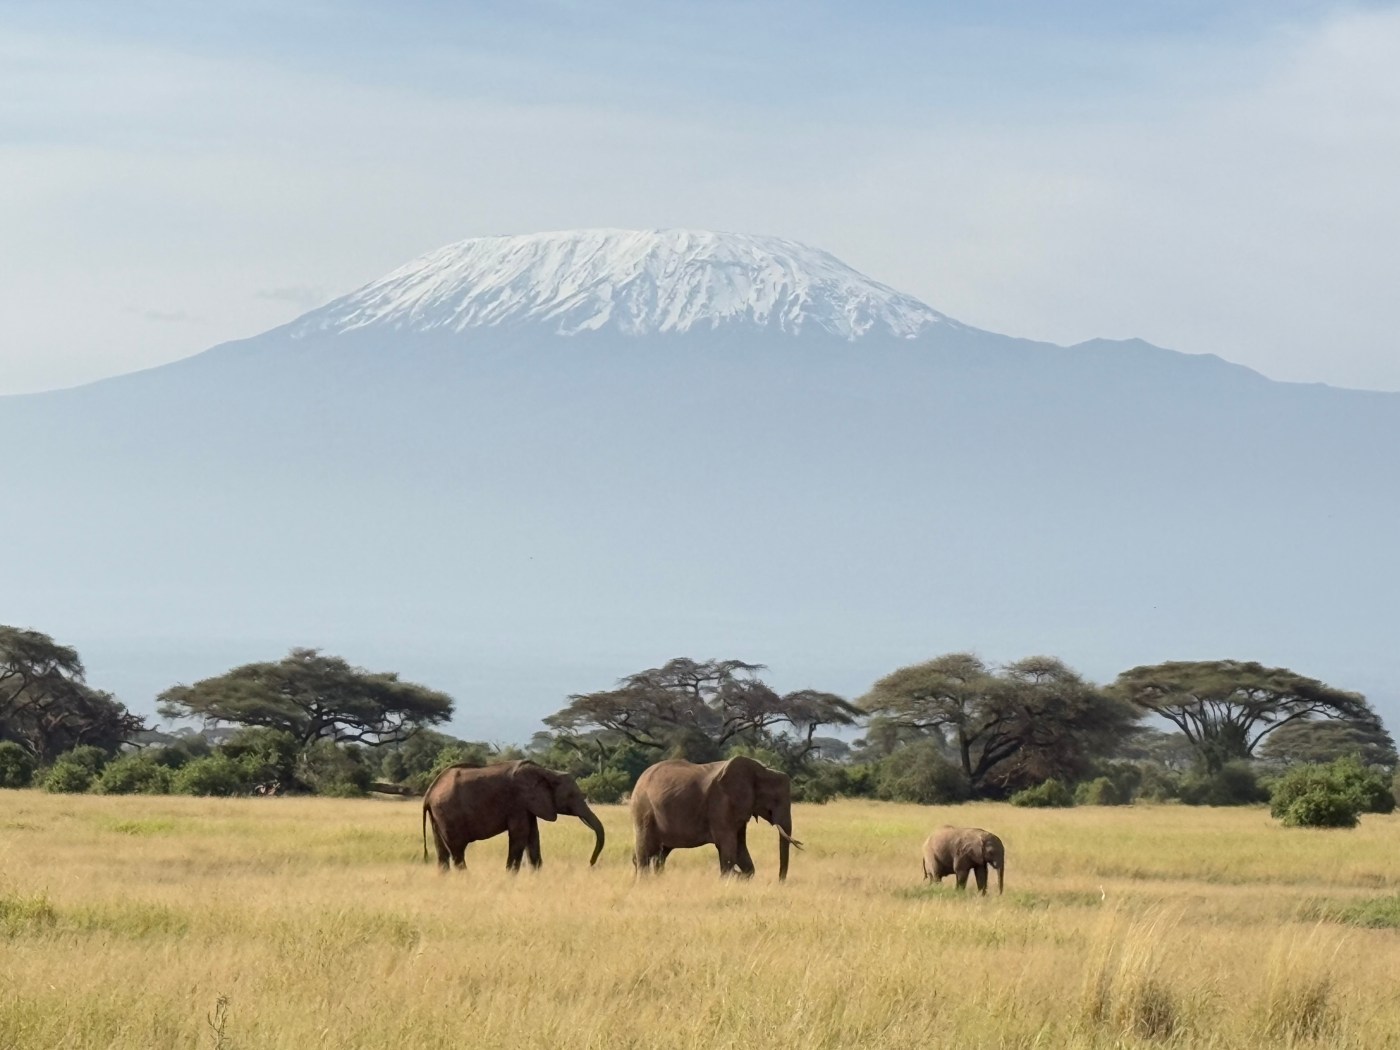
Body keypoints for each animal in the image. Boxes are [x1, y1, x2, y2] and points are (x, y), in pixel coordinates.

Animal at [421, 760, 604, 873]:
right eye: (571, 796)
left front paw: (536, 876)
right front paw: (511, 877)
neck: (547, 772)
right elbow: (520, 835)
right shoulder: (518, 803)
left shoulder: (528, 806)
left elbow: (533, 836)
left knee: (442, 852)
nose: (590, 864)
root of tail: (429, 793)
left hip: (438, 816)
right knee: (457, 851)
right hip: (448, 814)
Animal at [630, 755, 802, 880]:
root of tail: (640, 778)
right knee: (645, 852)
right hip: (644, 811)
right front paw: (729, 876)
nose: (780, 881)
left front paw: (739, 875)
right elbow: (728, 845)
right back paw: (644, 882)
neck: (761, 770)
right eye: (775, 800)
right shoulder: (722, 804)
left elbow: (739, 845)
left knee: (661, 855)